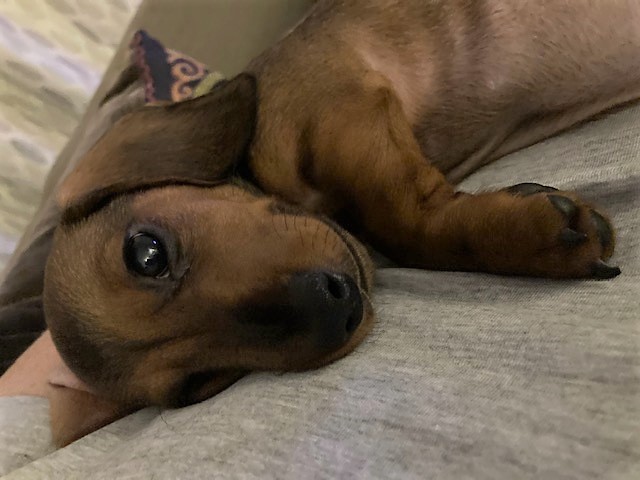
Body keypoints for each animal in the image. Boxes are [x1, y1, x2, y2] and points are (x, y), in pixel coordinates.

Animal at [42, 0, 639, 445]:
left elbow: (408, 224)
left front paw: (532, 237)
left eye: (147, 253)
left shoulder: (345, 110)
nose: (335, 310)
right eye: (198, 384)